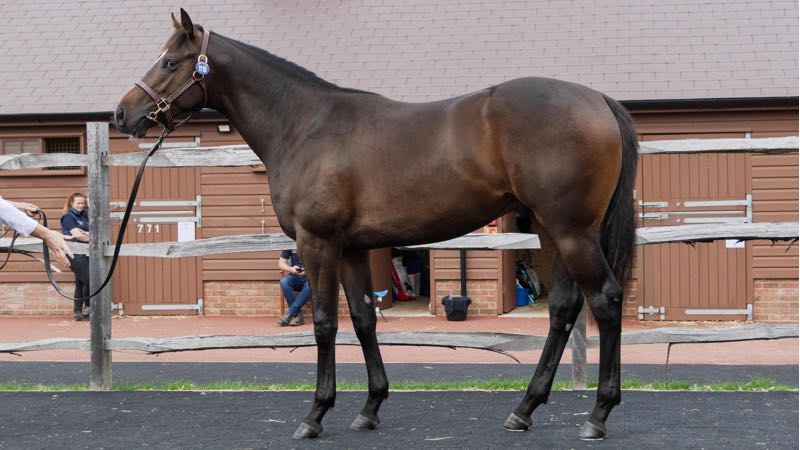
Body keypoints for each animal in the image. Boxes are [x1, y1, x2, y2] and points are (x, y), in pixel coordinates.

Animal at [115, 9, 638, 441]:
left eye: (170, 62)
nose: (123, 113)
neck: (304, 124)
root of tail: (597, 99)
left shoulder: (317, 243)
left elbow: (325, 323)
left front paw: (315, 414)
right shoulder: (351, 248)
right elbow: (364, 318)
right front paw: (370, 408)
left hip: (572, 232)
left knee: (605, 300)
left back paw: (597, 416)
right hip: (553, 231)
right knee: (564, 308)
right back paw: (524, 409)